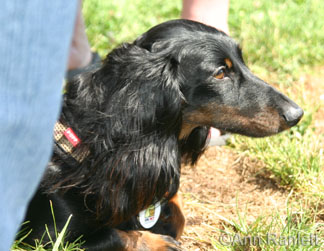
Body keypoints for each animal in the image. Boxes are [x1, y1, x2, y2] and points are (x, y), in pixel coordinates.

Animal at [20, 20, 304, 251]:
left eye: (242, 62)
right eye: (221, 73)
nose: (297, 114)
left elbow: (175, 210)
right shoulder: (49, 237)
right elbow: (115, 235)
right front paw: (158, 242)